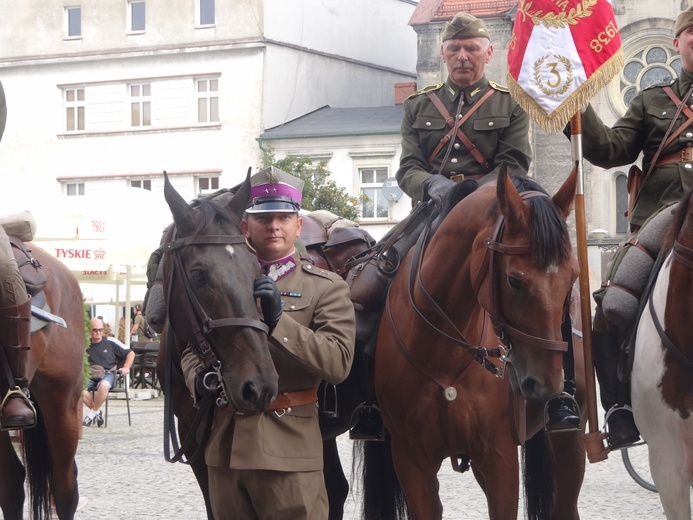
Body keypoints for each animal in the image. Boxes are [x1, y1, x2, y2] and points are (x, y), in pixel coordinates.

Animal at [360, 168, 588, 520]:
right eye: (515, 281)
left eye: (573, 276)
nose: (546, 384)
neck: (441, 350)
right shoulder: (412, 461)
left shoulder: (499, 458)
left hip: (570, 441)